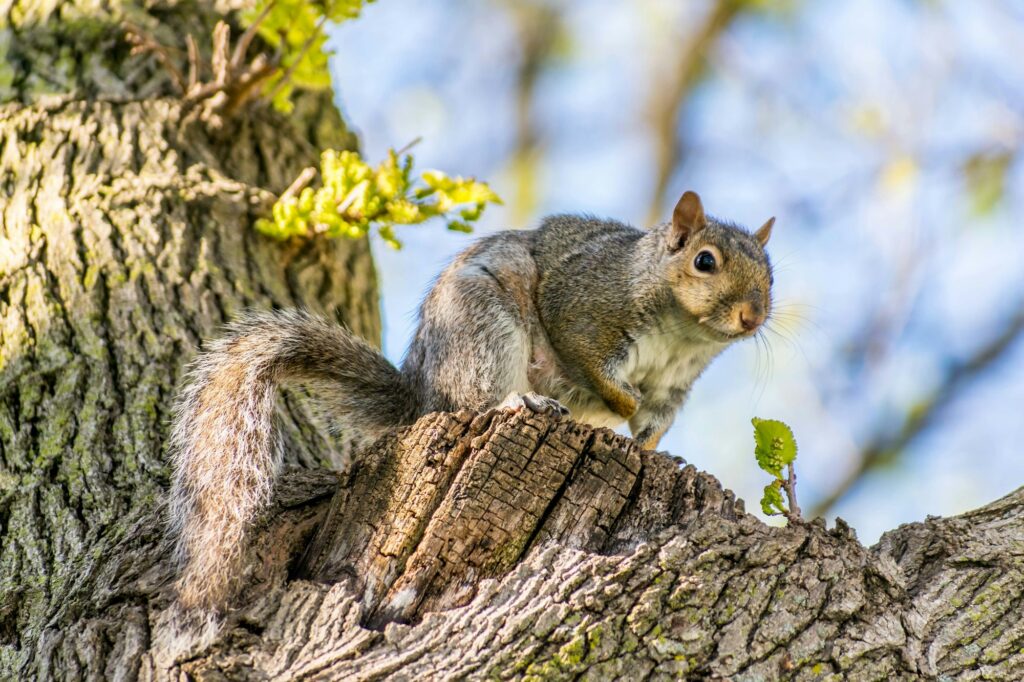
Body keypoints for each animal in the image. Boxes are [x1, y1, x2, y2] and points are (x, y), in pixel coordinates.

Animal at [169, 189, 774, 606]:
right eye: (704, 261)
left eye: (770, 275)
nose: (753, 316)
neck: (682, 336)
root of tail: (422, 395)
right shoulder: (585, 309)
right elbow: (593, 368)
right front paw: (613, 407)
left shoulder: (673, 389)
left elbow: (652, 425)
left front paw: (658, 452)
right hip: (484, 331)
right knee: (471, 402)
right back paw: (520, 404)